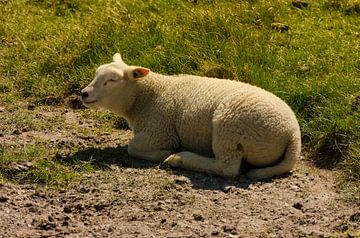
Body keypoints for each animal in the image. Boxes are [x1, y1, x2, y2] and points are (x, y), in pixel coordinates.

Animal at [81, 53, 300, 179]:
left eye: (112, 80)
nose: (84, 93)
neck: (147, 97)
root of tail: (293, 135)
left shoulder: (160, 132)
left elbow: (132, 147)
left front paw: (165, 153)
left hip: (229, 127)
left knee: (227, 168)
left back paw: (179, 158)